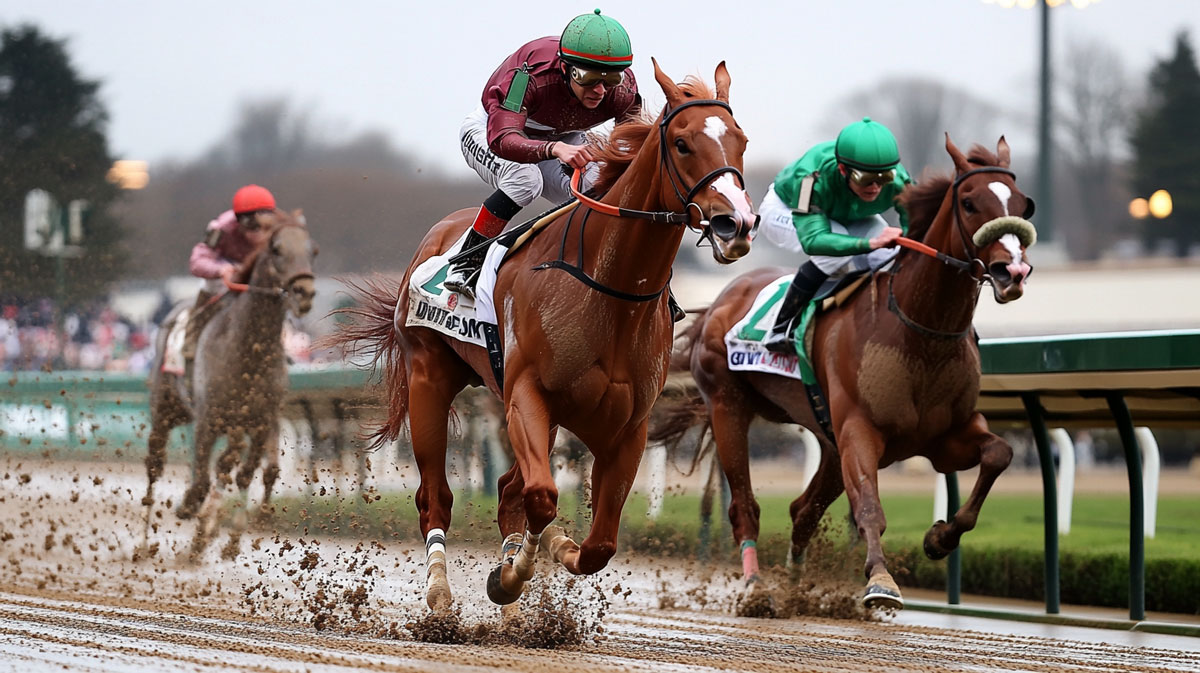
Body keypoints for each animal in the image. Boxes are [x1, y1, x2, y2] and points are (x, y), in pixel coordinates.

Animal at [328, 57, 758, 611]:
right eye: (682, 143)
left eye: (740, 140)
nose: (736, 224)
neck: (610, 290)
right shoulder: (527, 396)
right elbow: (541, 496)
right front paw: (512, 574)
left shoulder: (628, 427)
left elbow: (597, 543)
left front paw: (546, 554)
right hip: (429, 378)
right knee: (436, 497)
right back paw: (440, 591)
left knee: (508, 487)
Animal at [652, 133, 1036, 611]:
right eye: (968, 202)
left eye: (1023, 204)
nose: (1012, 270)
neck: (921, 333)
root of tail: (720, 302)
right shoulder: (860, 430)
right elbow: (869, 506)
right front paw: (881, 581)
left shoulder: (944, 437)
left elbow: (999, 454)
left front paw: (939, 538)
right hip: (729, 407)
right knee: (745, 505)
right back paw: (757, 587)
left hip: (827, 439)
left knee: (802, 511)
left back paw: (795, 590)